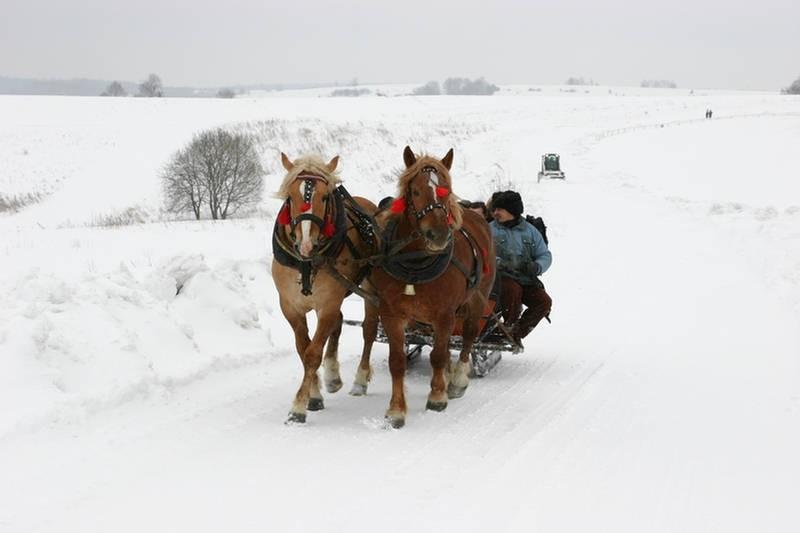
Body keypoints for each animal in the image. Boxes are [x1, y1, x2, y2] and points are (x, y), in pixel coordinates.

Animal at [272, 152, 378, 422]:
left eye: (324, 196)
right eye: (290, 197)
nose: (306, 244)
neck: (306, 263)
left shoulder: (328, 303)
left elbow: (312, 353)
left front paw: (299, 406)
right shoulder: (290, 306)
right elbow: (303, 349)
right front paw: (315, 394)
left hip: (370, 286)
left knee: (369, 330)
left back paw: (360, 380)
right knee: (338, 323)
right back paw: (332, 376)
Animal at [354, 145, 496, 428]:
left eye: (446, 189)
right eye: (416, 191)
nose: (438, 234)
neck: (415, 264)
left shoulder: (444, 314)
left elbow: (439, 355)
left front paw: (438, 396)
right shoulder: (392, 313)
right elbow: (397, 361)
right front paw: (396, 410)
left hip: (478, 297)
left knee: (468, 336)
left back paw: (457, 379)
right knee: (371, 331)